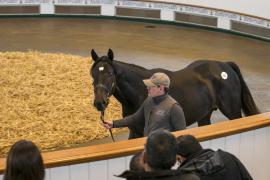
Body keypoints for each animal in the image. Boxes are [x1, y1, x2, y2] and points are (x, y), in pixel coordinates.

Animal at [90, 48, 260, 139]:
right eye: (93, 74)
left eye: (110, 74)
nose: (99, 103)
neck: (140, 91)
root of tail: (226, 66)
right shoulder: (134, 131)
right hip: (204, 116)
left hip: (233, 113)